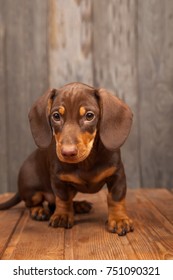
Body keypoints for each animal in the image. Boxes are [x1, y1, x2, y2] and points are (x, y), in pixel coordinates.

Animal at [0, 82, 134, 235]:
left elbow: (116, 198)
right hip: (32, 190)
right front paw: (62, 215)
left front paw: (118, 219)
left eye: (89, 116)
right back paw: (39, 210)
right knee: (34, 203)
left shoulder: (117, 175)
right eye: (56, 116)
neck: (86, 161)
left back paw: (78, 206)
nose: (67, 152)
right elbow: (63, 199)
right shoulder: (58, 180)